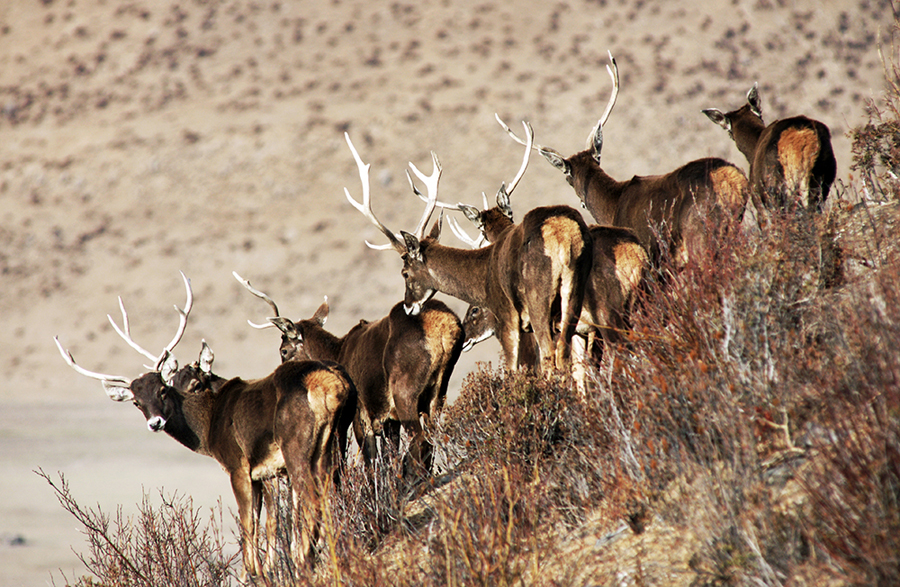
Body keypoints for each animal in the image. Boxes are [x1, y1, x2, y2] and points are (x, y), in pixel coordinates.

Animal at [53, 274, 358, 576]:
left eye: (162, 390)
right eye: (137, 402)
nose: (155, 422)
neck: (209, 428)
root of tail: (329, 384)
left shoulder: (238, 465)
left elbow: (249, 527)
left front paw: (256, 572)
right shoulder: (263, 474)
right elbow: (264, 523)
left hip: (297, 446)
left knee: (313, 499)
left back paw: (308, 561)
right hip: (333, 446)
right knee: (332, 495)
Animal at [232, 272, 464, 478]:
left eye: (284, 351)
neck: (338, 352)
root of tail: (444, 324)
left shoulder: (361, 414)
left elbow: (372, 462)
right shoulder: (390, 420)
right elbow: (389, 457)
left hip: (404, 389)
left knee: (421, 440)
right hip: (439, 390)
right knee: (432, 437)